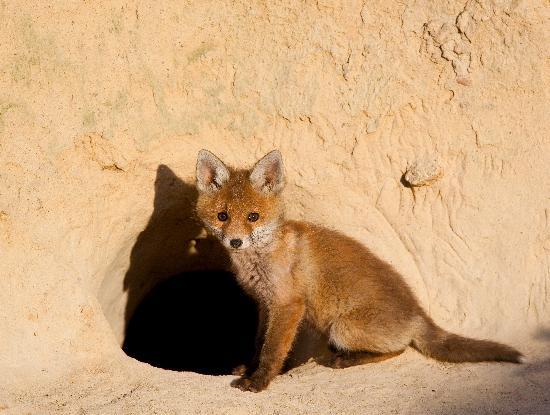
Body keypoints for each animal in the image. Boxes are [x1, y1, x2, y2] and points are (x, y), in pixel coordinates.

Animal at [195, 149, 528, 394]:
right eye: (222, 216)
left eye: (253, 217)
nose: (235, 241)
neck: (263, 257)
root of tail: (417, 311)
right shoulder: (266, 305)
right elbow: (258, 344)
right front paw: (249, 368)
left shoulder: (288, 305)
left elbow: (273, 350)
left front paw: (260, 381)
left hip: (342, 328)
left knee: (401, 349)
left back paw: (345, 360)